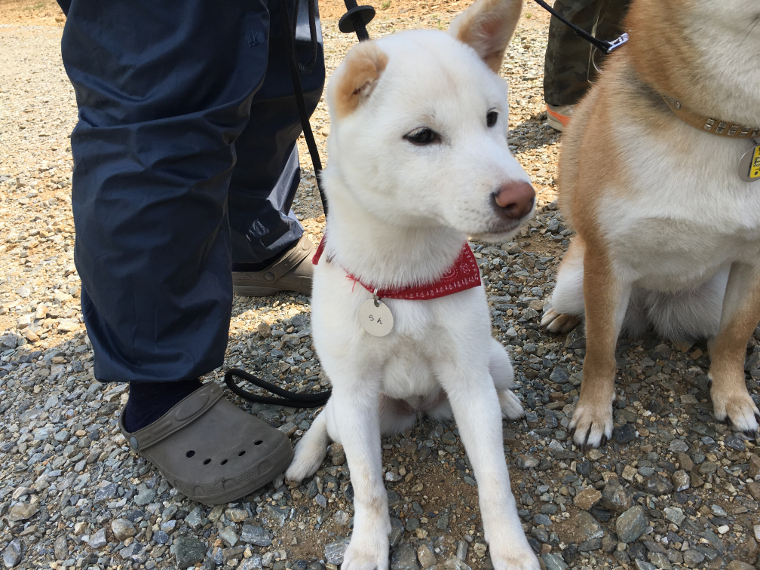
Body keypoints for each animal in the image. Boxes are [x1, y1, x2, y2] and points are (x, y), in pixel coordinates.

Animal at [284, 1, 540, 568]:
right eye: (422, 136)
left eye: (492, 117)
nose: (521, 198)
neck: (403, 279)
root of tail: (420, 408)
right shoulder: (356, 394)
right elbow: (368, 487)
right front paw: (365, 548)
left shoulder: (468, 383)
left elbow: (495, 482)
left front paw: (511, 550)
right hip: (355, 411)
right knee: (325, 418)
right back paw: (305, 456)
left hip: (495, 360)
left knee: (498, 386)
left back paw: (509, 403)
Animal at [540, 0, 760, 448]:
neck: (718, 129)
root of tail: (654, 307)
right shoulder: (607, 263)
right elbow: (600, 351)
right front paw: (593, 412)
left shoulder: (754, 261)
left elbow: (735, 335)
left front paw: (733, 397)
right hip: (574, 282)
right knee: (577, 308)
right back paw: (562, 316)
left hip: (708, 301)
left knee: (718, 333)